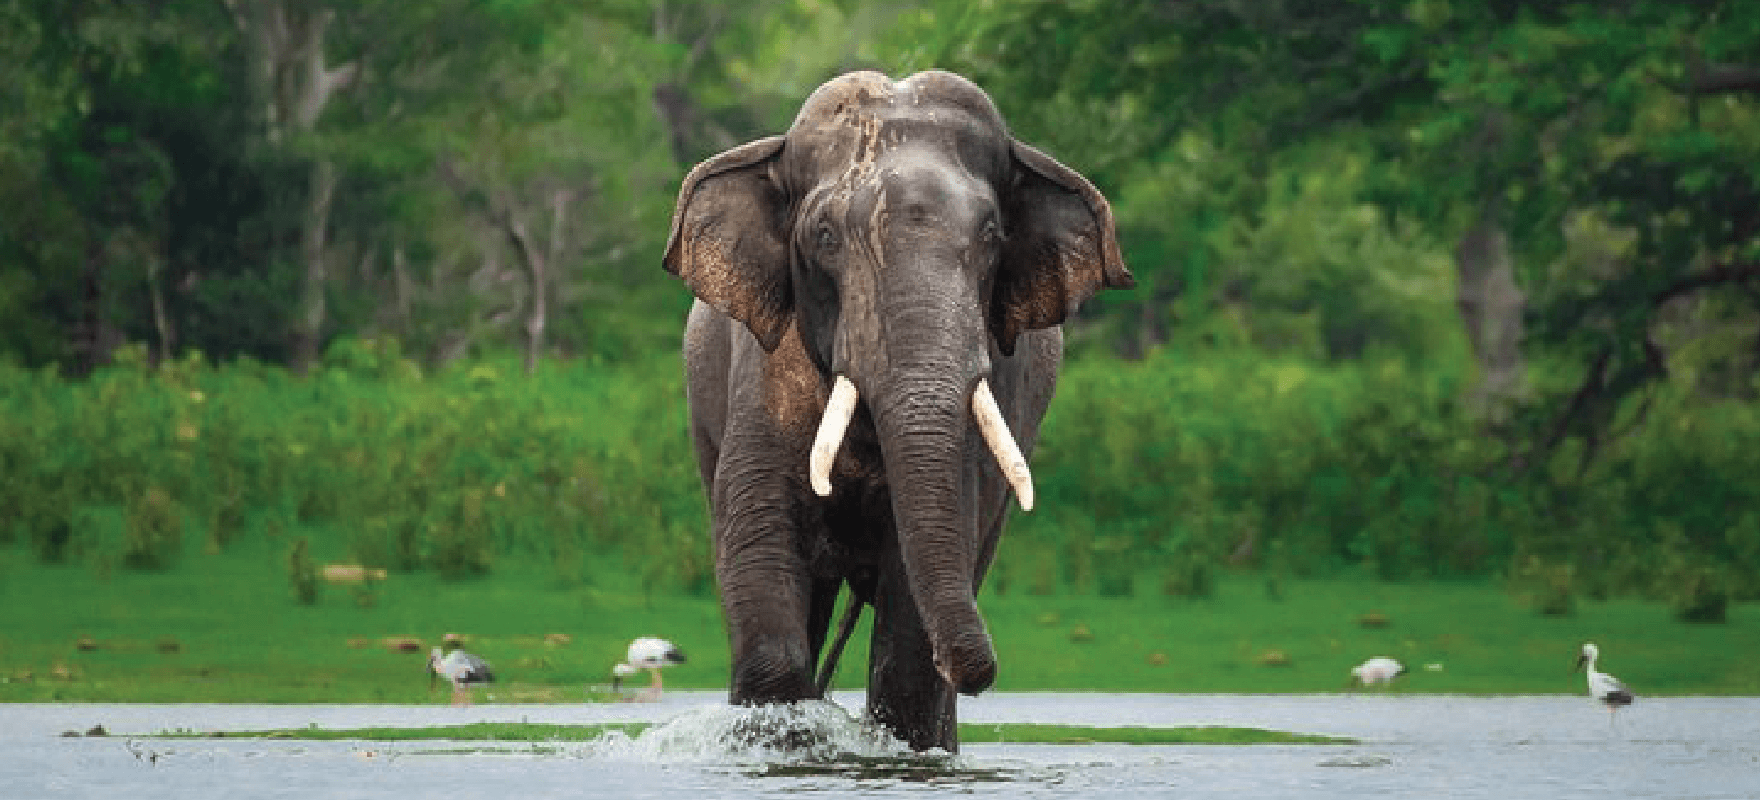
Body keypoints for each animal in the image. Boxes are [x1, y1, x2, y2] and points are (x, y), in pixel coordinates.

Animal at [663, 70, 1133, 752]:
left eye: (991, 236)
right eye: (823, 236)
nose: (986, 670)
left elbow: (909, 639)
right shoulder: (763, 376)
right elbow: (760, 550)